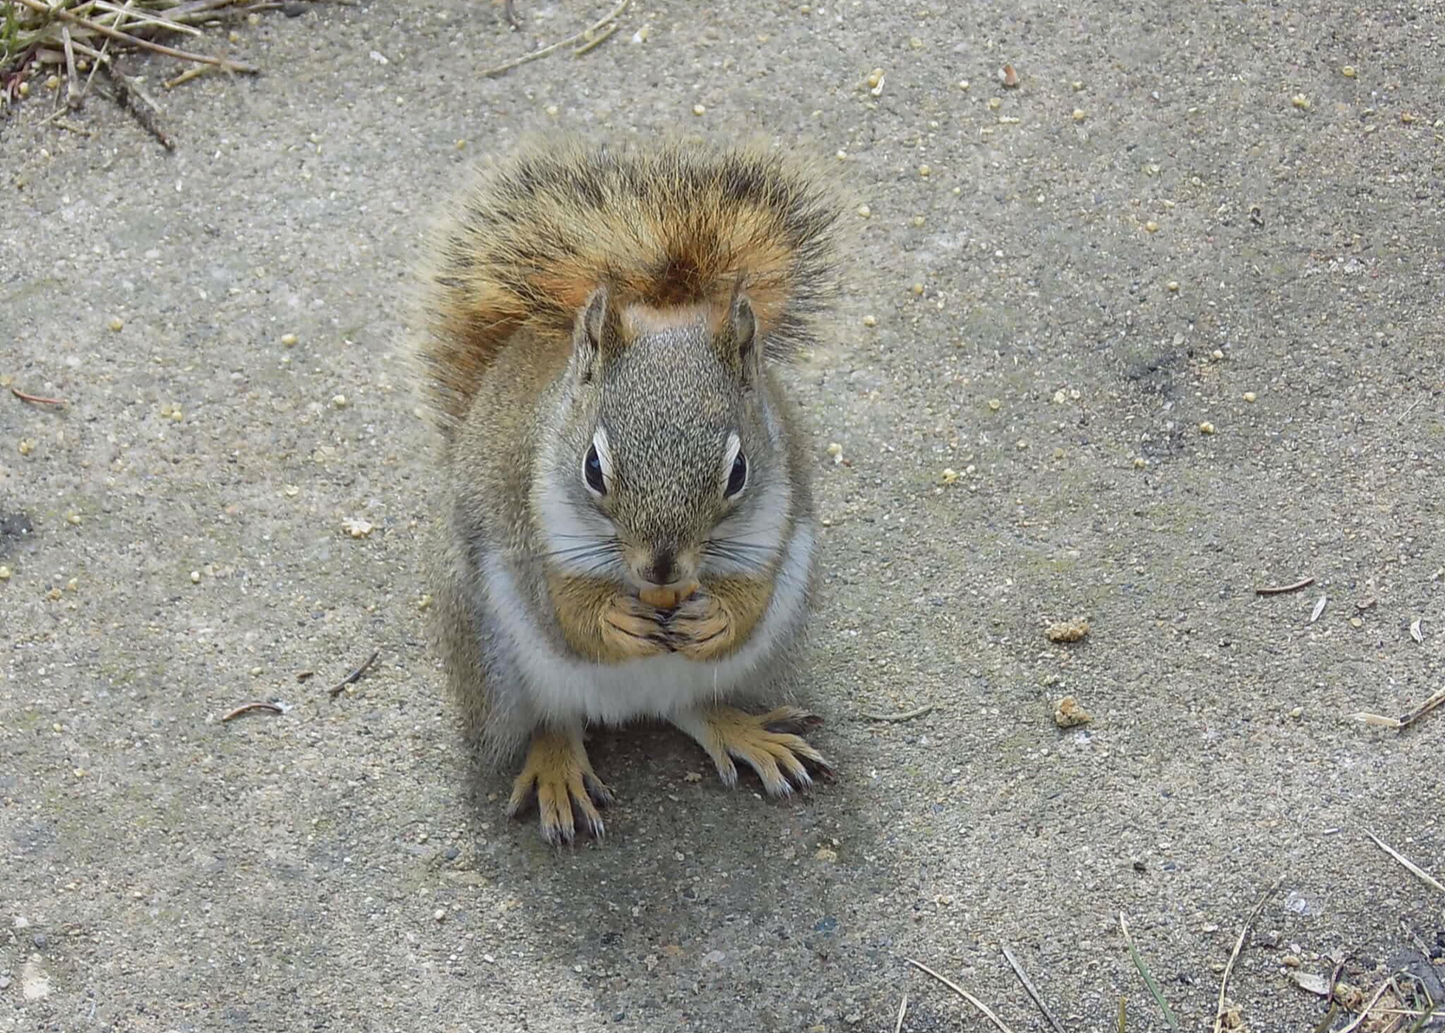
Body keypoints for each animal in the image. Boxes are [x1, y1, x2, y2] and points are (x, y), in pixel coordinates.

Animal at [409, 135, 844, 844]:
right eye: (592, 468)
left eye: (739, 473)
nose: (661, 569)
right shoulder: (524, 525)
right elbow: (561, 611)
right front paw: (609, 616)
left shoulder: (780, 516)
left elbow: (752, 593)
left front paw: (717, 615)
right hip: (492, 661)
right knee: (551, 719)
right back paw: (556, 769)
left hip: (764, 647)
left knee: (692, 707)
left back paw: (745, 732)